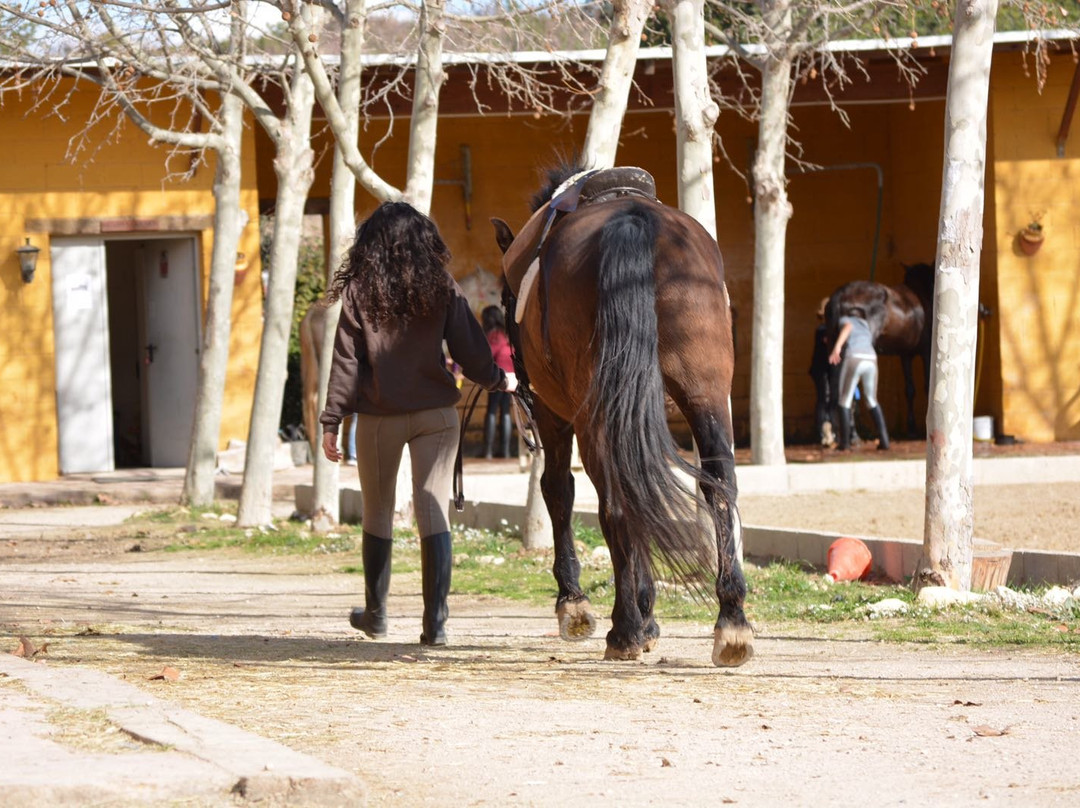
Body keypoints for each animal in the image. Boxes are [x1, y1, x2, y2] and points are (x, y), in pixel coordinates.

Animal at [492, 165, 751, 669]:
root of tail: (633, 219)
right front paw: (647, 614)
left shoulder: (555, 416)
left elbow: (559, 492)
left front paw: (576, 604)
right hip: (705, 395)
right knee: (718, 485)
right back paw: (731, 620)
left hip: (593, 416)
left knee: (614, 501)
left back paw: (625, 628)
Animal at [825, 263, 937, 436]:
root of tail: (841, 295)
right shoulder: (926, 351)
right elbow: (926, 385)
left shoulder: (906, 354)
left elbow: (910, 389)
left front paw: (911, 427)